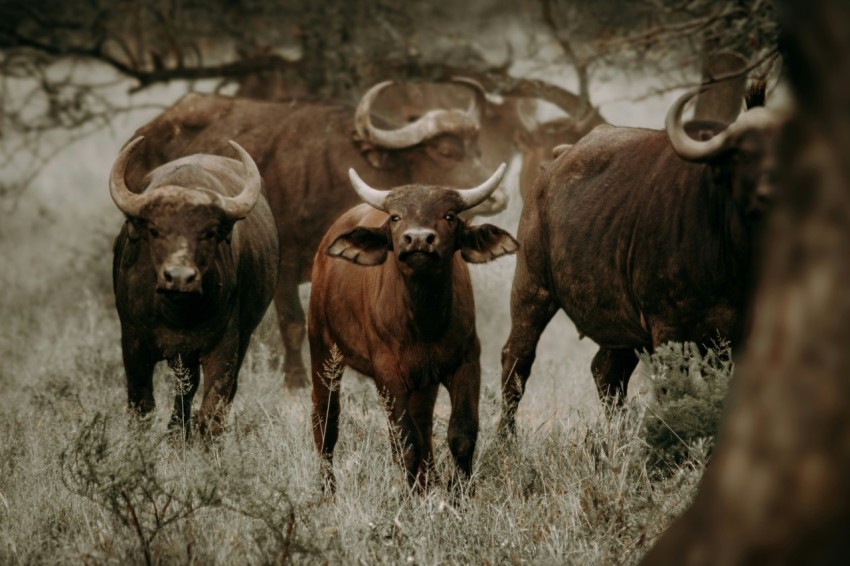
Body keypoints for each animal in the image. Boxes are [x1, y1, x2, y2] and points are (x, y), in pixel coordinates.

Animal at [110, 137, 279, 438]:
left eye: (208, 233)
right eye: (155, 230)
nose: (179, 277)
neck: (177, 314)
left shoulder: (225, 347)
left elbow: (212, 412)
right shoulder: (132, 343)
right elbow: (142, 407)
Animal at [125, 79, 507, 391]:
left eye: (477, 150)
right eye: (445, 152)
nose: (498, 199)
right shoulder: (284, 269)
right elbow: (292, 323)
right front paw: (295, 382)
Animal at [308, 163, 518, 493]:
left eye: (449, 216)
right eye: (396, 217)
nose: (418, 239)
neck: (424, 323)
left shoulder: (466, 361)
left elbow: (461, 433)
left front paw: (459, 492)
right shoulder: (388, 373)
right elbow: (406, 441)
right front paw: (409, 496)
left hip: (423, 381)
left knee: (424, 422)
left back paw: (428, 481)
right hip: (322, 350)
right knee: (326, 418)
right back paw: (328, 488)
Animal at [498, 83, 781, 435]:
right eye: (742, 154)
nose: (772, 194)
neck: (734, 259)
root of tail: (551, 167)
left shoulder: (732, 342)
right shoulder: (669, 331)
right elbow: (673, 392)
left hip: (619, 324)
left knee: (606, 371)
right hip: (532, 287)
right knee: (517, 360)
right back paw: (505, 438)